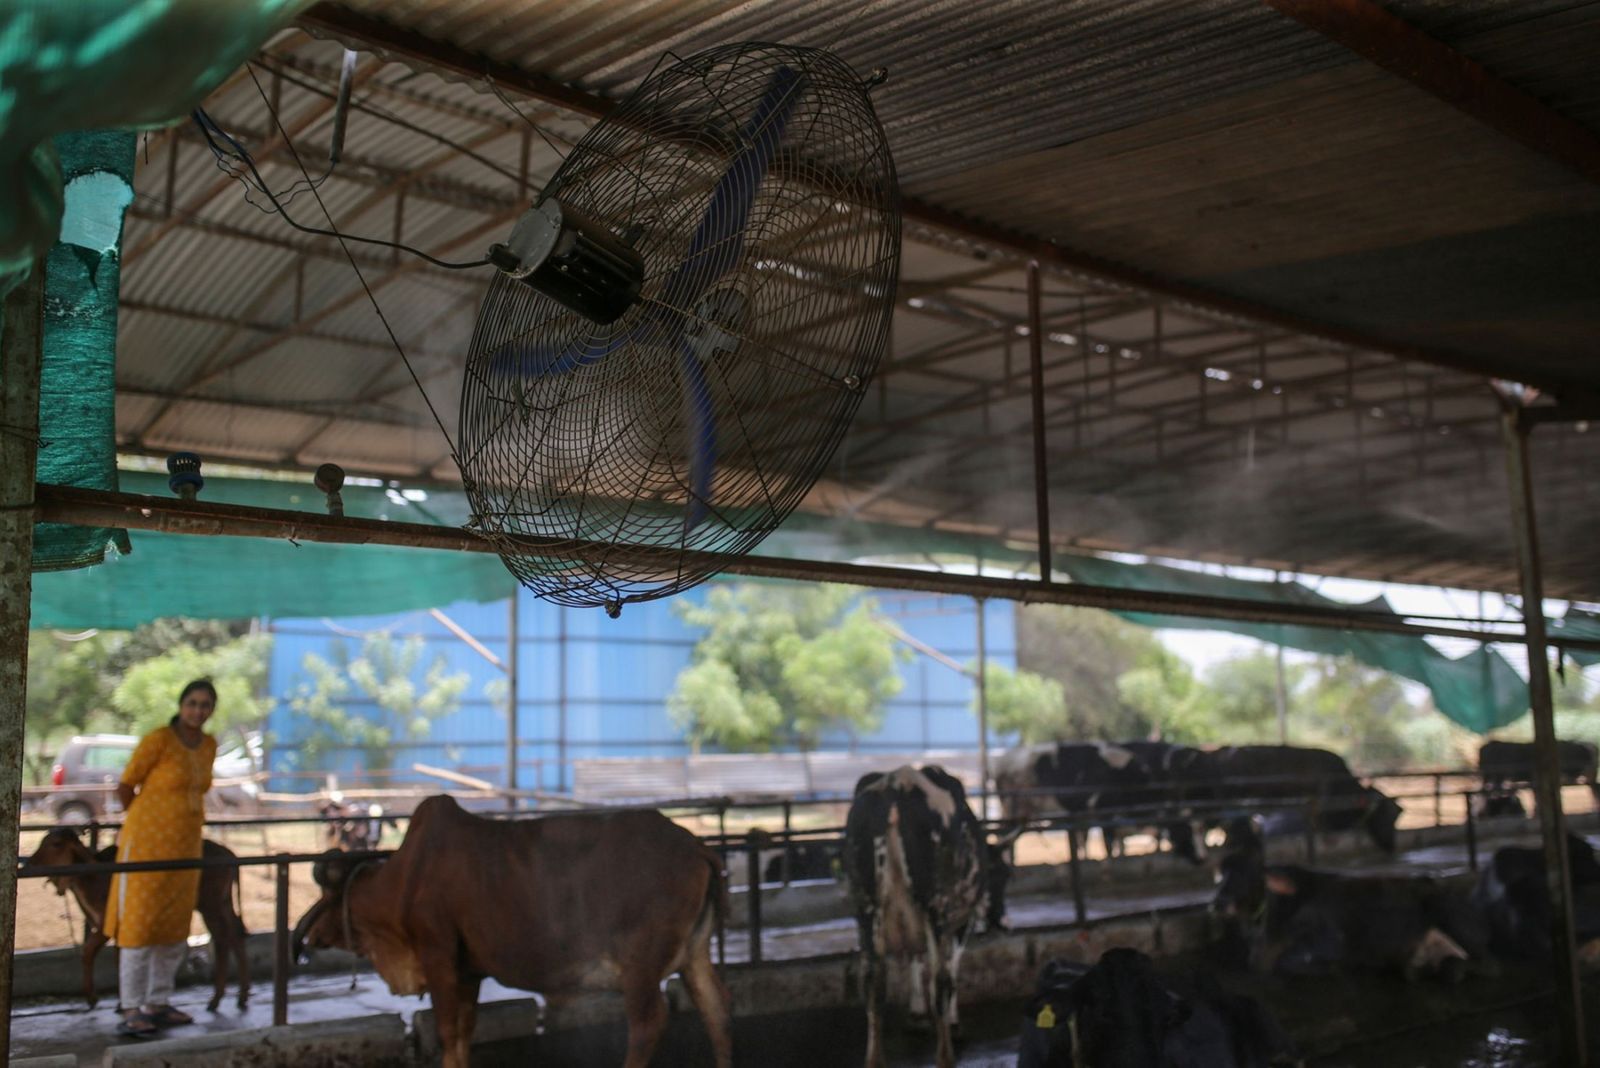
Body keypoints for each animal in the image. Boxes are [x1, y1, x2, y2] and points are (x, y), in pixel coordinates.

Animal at [22, 831, 249, 1016]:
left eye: (56, 843)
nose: (29, 864)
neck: (92, 877)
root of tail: (229, 854)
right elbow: (113, 957)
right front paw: (115, 1002)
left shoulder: (107, 925)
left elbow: (89, 953)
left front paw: (101, 1000)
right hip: (224, 902)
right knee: (236, 933)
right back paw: (240, 997)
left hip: (210, 904)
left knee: (222, 938)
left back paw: (216, 1000)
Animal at [292, 793, 732, 1068]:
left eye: (328, 895)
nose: (308, 936)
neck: (405, 879)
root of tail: (696, 846)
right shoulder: (468, 971)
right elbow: (463, 1034)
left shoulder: (438, 956)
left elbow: (447, 1032)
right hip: (694, 956)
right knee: (716, 1011)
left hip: (640, 966)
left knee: (648, 1023)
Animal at [838, 767, 1011, 1068]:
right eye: (1002, 875)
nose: (1004, 921)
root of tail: (895, 785)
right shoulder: (960, 921)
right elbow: (951, 969)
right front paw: (952, 1023)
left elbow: (914, 958)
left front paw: (916, 1015)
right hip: (936, 908)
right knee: (939, 982)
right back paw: (945, 1054)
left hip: (866, 910)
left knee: (873, 984)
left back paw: (875, 1058)